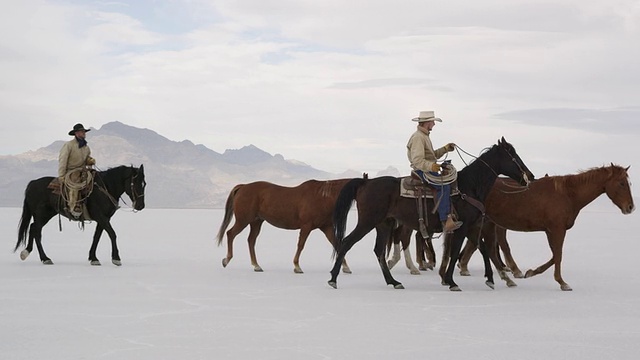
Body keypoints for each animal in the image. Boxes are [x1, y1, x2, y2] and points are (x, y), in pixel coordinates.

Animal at [14, 165, 146, 266]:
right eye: (136, 183)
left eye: (144, 184)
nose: (140, 206)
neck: (106, 188)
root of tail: (32, 184)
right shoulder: (101, 217)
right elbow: (112, 234)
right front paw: (116, 258)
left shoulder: (104, 218)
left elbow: (97, 236)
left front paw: (93, 258)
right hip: (42, 214)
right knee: (36, 230)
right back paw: (45, 258)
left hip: (47, 214)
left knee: (33, 228)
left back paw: (27, 253)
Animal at [218, 177, 360, 272]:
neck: (322, 197)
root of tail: (243, 186)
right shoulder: (306, 226)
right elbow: (301, 245)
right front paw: (297, 266)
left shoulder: (327, 227)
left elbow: (337, 244)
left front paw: (346, 267)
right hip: (243, 220)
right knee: (230, 234)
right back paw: (227, 259)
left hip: (256, 222)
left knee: (251, 240)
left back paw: (256, 265)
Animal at [330, 136, 536, 292]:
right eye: (513, 156)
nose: (531, 176)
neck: (469, 186)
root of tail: (366, 182)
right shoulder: (461, 228)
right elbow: (456, 251)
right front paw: (451, 282)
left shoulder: (470, 227)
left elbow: (483, 248)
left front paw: (490, 279)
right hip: (367, 222)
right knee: (347, 242)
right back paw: (333, 278)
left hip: (384, 224)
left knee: (378, 250)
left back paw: (393, 282)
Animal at [456, 165, 636, 292]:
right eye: (621, 183)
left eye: (629, 183)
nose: (630, 207)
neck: (568, 194)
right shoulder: (557, 230)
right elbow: (558, 255)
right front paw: (562, 282)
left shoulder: (551, 230)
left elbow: (555, 255)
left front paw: (532, 272)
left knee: (489, 249)